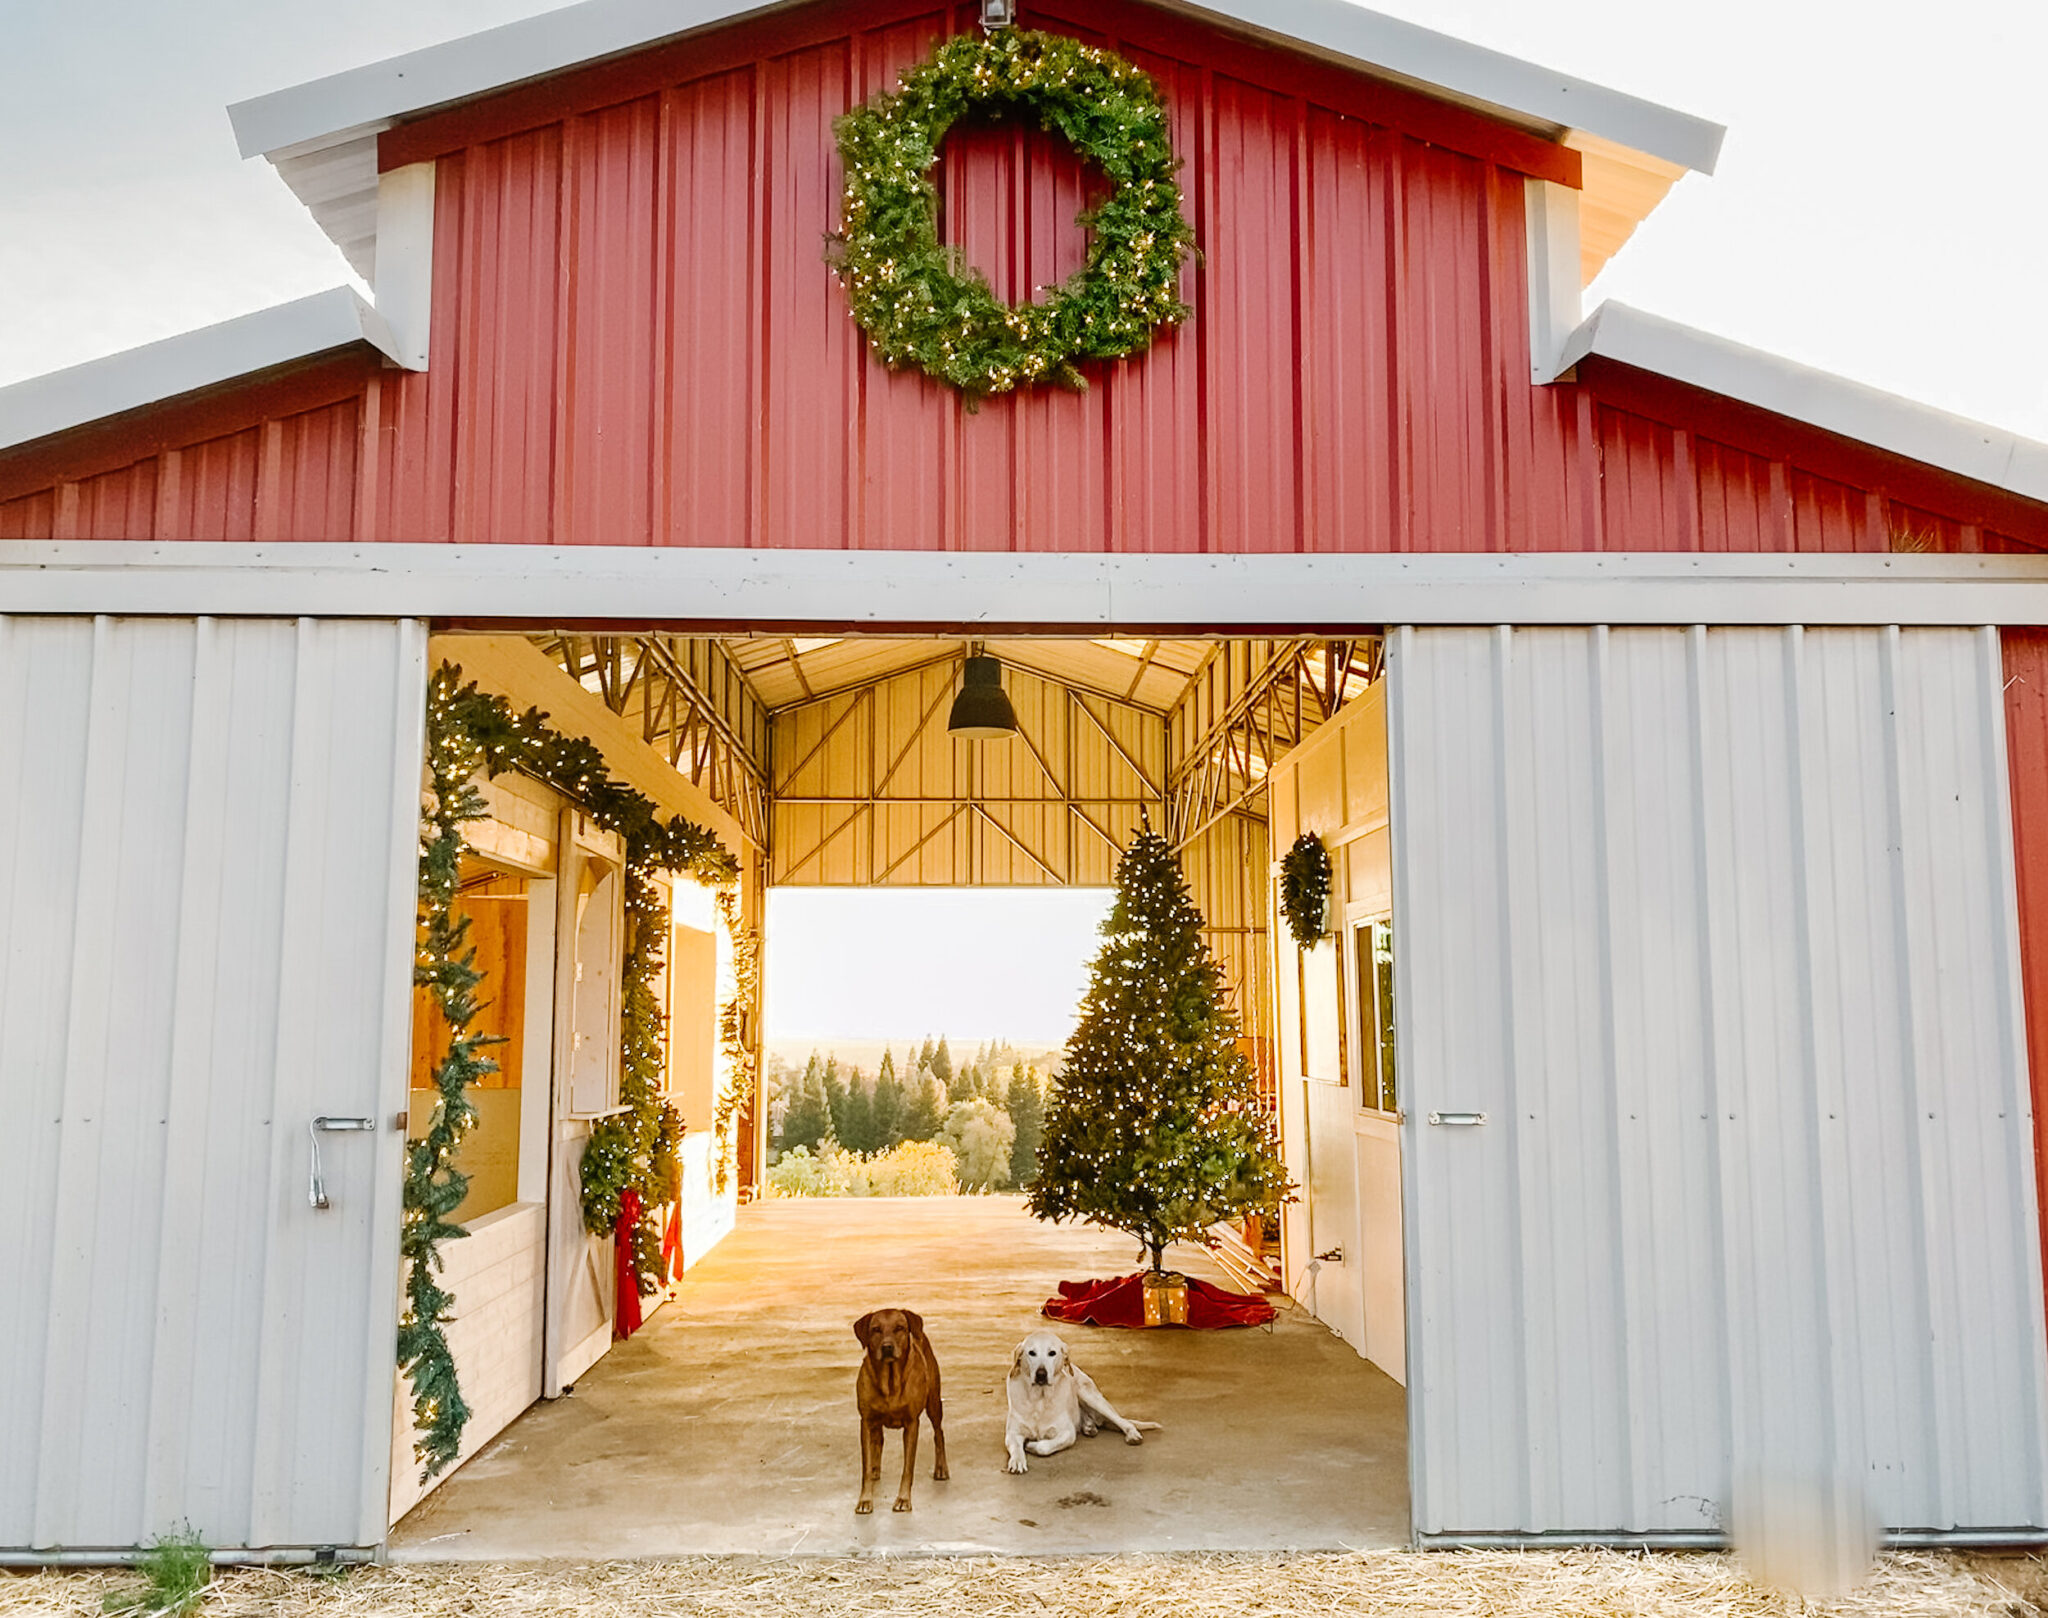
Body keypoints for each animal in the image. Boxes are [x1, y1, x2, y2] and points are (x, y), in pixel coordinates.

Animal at [851, 1302, 946, 1523]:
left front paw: (903, 1499)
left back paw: (941, 1469)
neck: (889, 1381)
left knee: (939, 1433)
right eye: (876, 1329)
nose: (887, 1347)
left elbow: (907, 1468)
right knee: (878, 1441)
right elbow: (865, 1467)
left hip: (934, 1403)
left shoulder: (912, 1423)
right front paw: (865, 1500)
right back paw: (876, 1469)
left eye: (899, 1328)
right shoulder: (865, 1421)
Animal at [1003, 1327, 1163, 1482]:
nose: (1041, 1374)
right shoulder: (1012, 1433)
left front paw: (1031, 1446)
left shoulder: (1068, 1433)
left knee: (1123, 1421)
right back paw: (1089, 1427)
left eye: (1052, 1353)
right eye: (1031, 1353)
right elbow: (1016, 1446)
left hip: (1090, 1396)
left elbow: (1044, 1447)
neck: (1039, 1400)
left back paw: (1132, 1434)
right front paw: (1017, 1461)